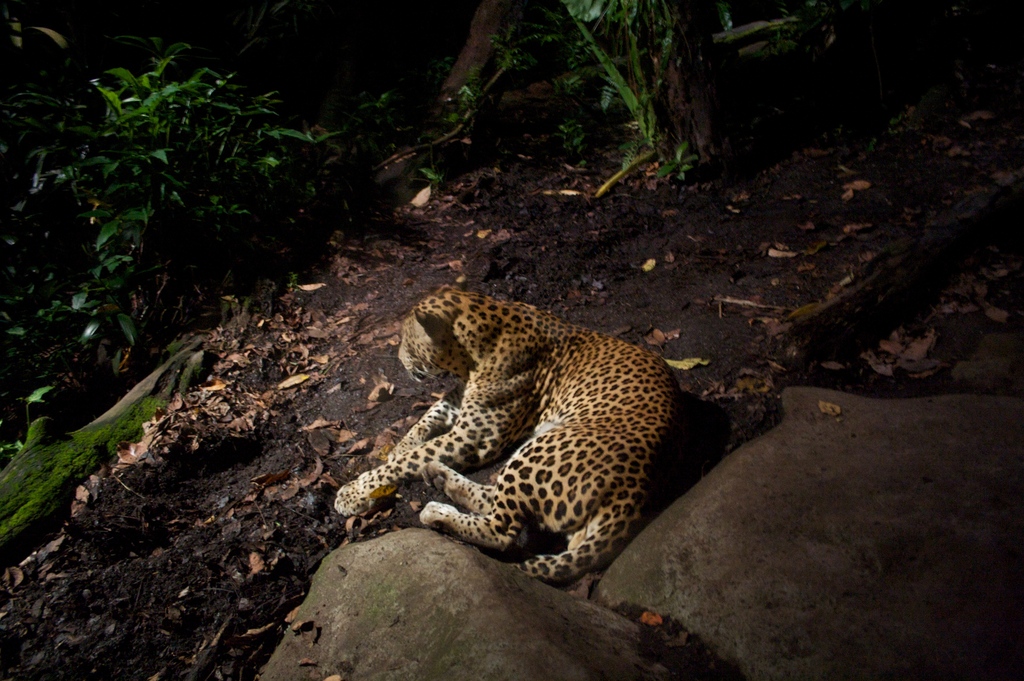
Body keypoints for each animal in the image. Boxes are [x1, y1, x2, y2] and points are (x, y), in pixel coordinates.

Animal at [334, 286, 690, 583]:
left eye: (407, 342)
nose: (399, 360)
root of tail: (636, 491)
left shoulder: (472, 436)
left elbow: (405, 461)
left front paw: (354, 493)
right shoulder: (460, 402)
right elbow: (426, 418)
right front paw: (400, 446)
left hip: (544, 449)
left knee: (502, 528)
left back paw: (437, 511)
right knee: (496, 499)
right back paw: (440, 479)